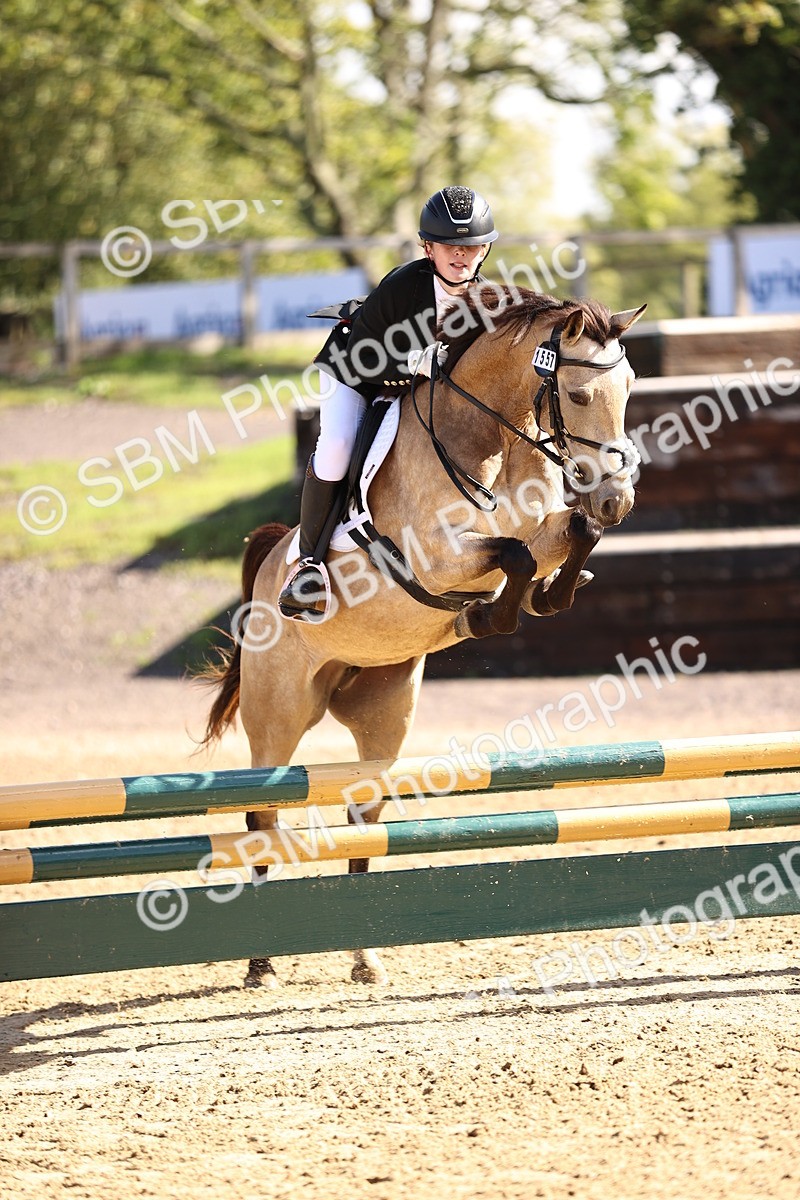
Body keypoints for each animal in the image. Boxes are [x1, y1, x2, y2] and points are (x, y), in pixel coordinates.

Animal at [202, 286, 646, 988]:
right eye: (577, 396)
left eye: (630, 388)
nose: (618, 499)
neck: (492, 438)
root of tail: (269, 563)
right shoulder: (436, 558)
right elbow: (514, 554)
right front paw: (493, 614)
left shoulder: (543, 529)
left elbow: (569, 534)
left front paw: (541, 597)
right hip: (278, 716)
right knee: (262, 815)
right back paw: (261, 962)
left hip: (383, 713)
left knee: (363, 816)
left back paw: (364, 956)